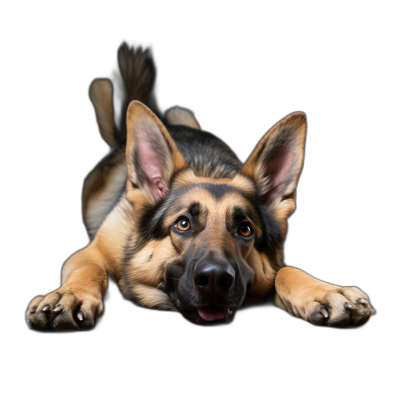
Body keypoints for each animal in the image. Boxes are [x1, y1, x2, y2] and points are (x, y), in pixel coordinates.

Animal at [25, 44, 376, 332]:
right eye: (182, 224)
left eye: (245, 230)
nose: (216, 281)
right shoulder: (88, 253)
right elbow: (90, 268)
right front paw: (69, 295)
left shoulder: (272, 264)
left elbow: (284, 270)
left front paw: (326, 291)